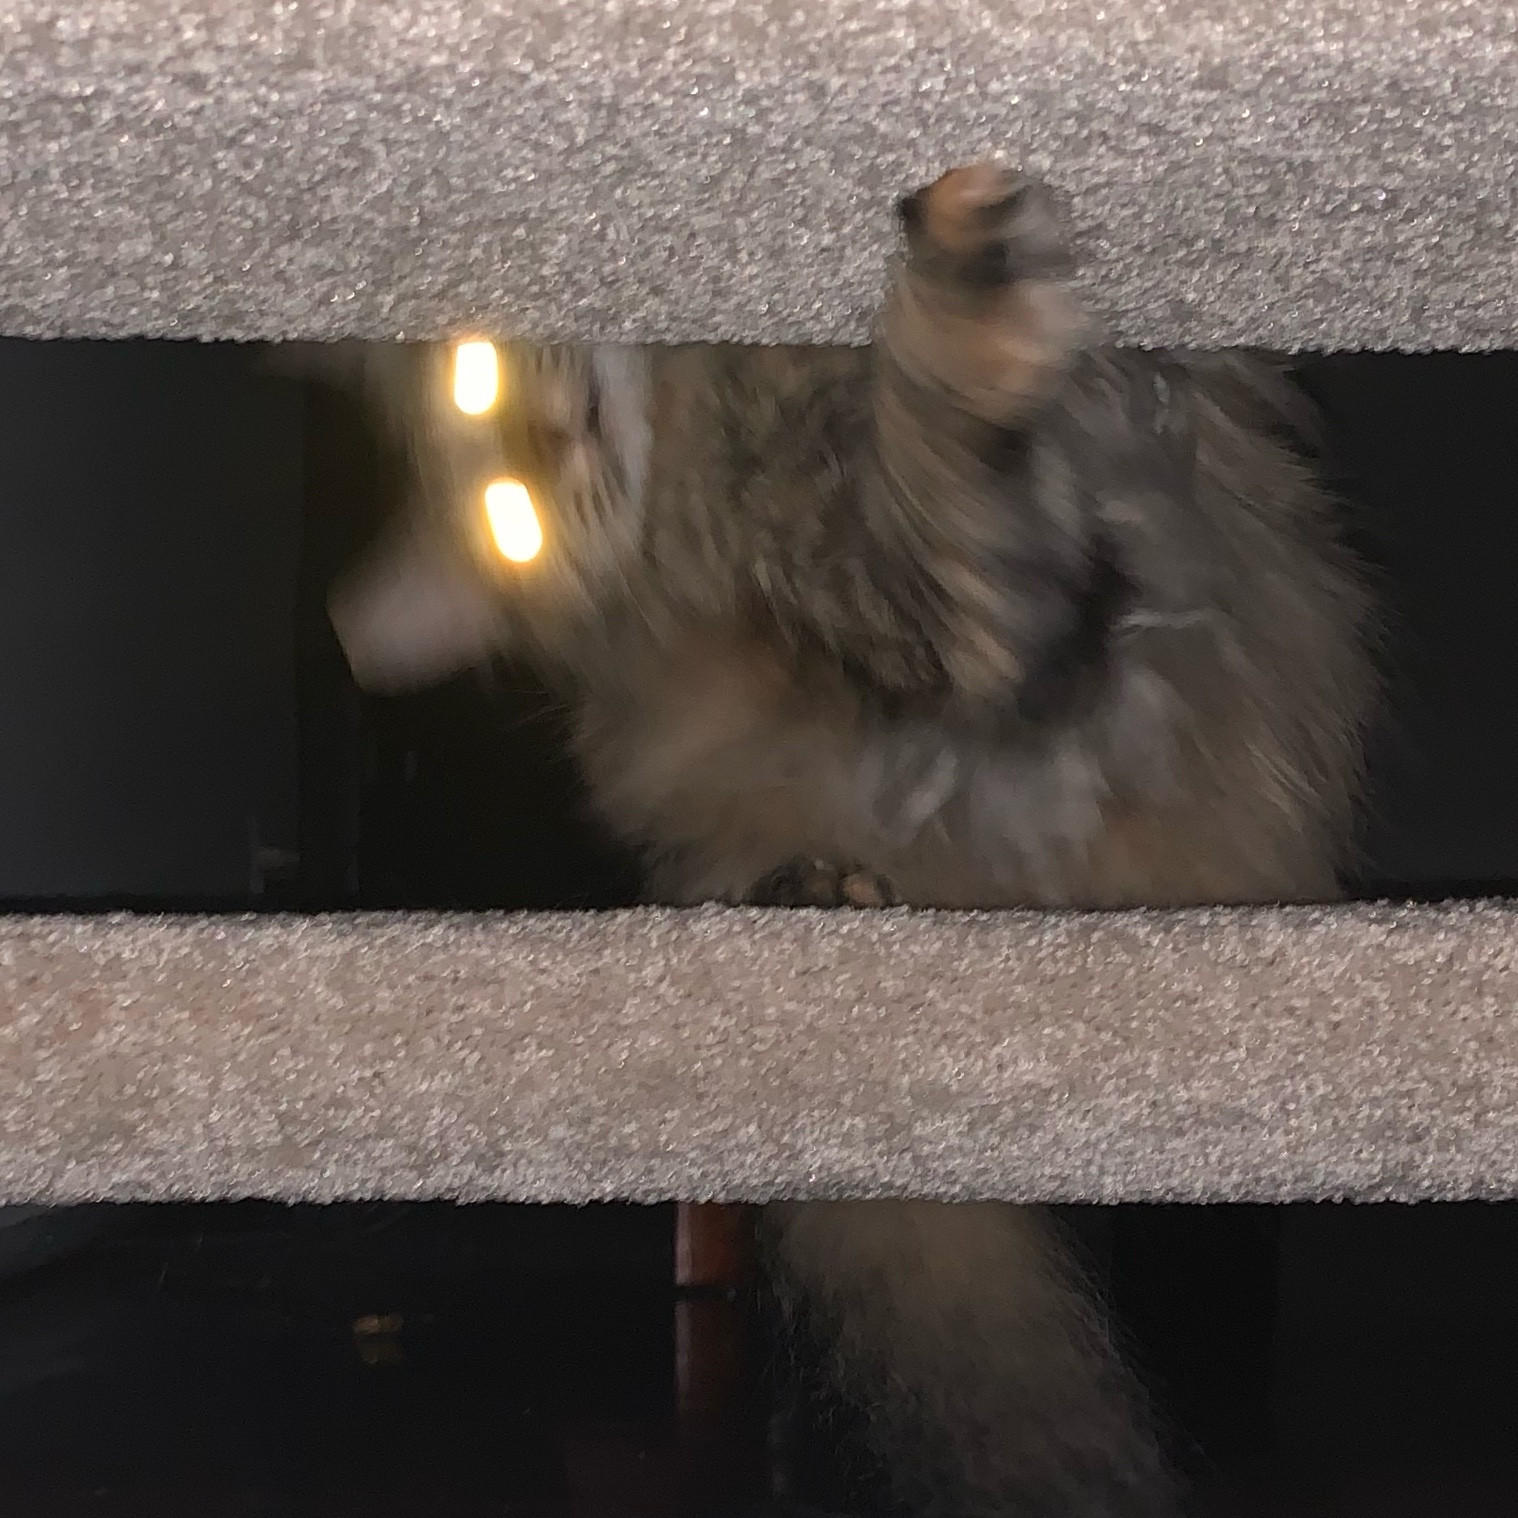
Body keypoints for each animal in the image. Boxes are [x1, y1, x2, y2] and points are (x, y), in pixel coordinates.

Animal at [311, 166, 1378, 1518]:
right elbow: (953, 465)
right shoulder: (951, 625)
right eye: (512, 520)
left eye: (477, 387)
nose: (558, 442)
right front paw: (969, 288)